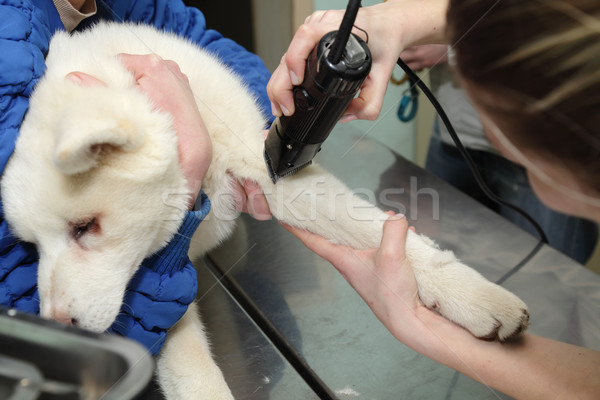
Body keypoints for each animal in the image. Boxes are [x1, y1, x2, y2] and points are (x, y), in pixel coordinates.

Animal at [2, 22, 528, 400]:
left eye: (85, 227)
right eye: (30, 247)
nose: (54, 323)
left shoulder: (269, 169)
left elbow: (378, 231)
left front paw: (476, 298)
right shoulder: (165, 283)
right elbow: (194, 375)